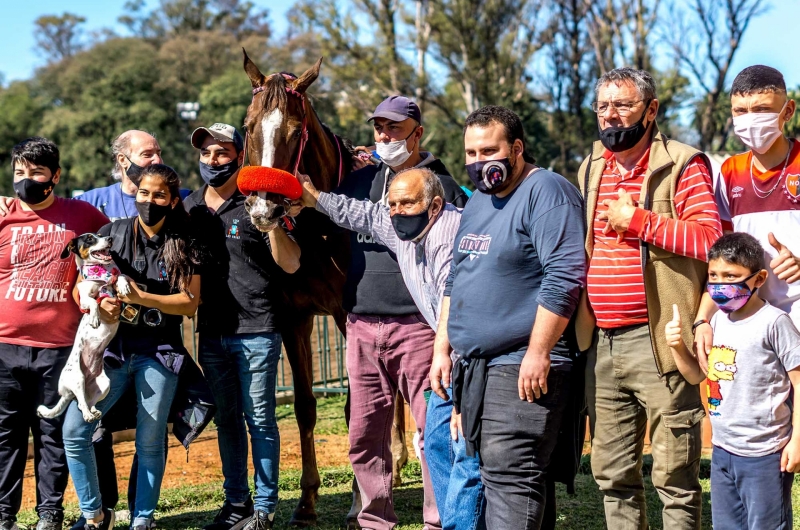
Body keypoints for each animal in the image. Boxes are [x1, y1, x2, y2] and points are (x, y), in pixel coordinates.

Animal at [37, 231, 131, 420]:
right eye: (89, 239)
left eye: (100, 235)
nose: (110, 238)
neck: (100, 274)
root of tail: (67, 393)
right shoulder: (84, 297)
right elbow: (94, 302)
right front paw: (94, 318)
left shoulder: (113, 278)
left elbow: (120, 275)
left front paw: (123, 285)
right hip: (77, 378)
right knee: (81, 403)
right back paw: (88, 414)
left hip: (104, 383)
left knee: (86, 402)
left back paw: (93, 411)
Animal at [239, 51, 406, 524]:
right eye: (249, 126)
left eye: (296, 132)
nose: (265, 207)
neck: (318, 230)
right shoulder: (294, 318)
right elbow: (304, 406)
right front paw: (307, 501)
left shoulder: (349, 317)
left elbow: (357, 406)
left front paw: (358, 500)